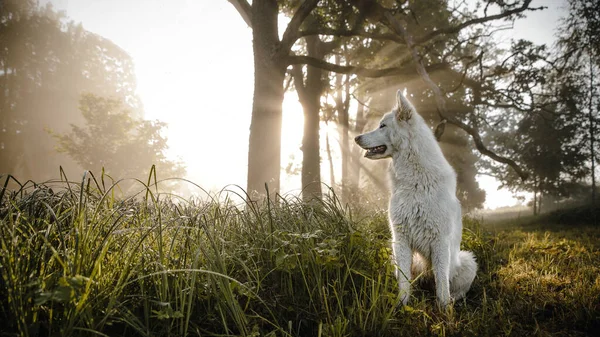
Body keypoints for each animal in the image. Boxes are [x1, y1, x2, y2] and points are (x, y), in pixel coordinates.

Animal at [356, 89, 478, 304]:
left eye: (382, 125)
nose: (356, 138)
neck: (416, 182)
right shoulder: (401, 239)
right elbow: (404, 281)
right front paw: (402, 305)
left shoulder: (440, 241)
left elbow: (442, 284)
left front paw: (444, 308)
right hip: (396, 254)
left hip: (467, 261)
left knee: (456, 288)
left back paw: (453, 300)